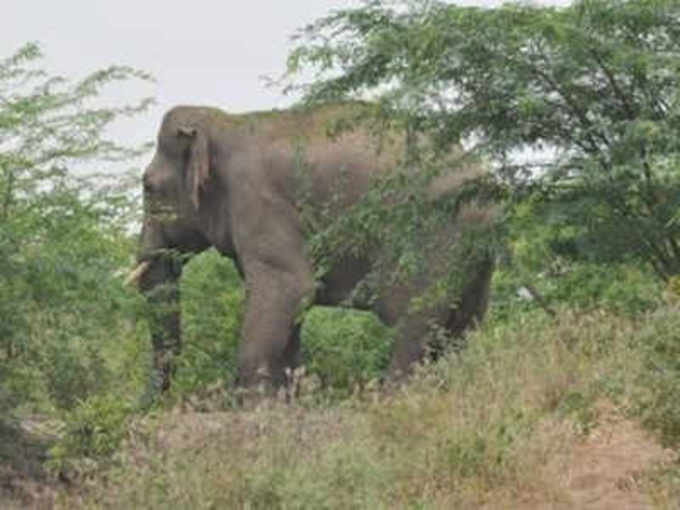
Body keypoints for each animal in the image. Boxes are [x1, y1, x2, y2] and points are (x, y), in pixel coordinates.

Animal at [130, 100, 496, 394]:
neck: (223, 122)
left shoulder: (259, 202)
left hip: (432, 235)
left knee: (414, 323)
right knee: (460, 329)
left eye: (148, 187)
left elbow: (289, 288)